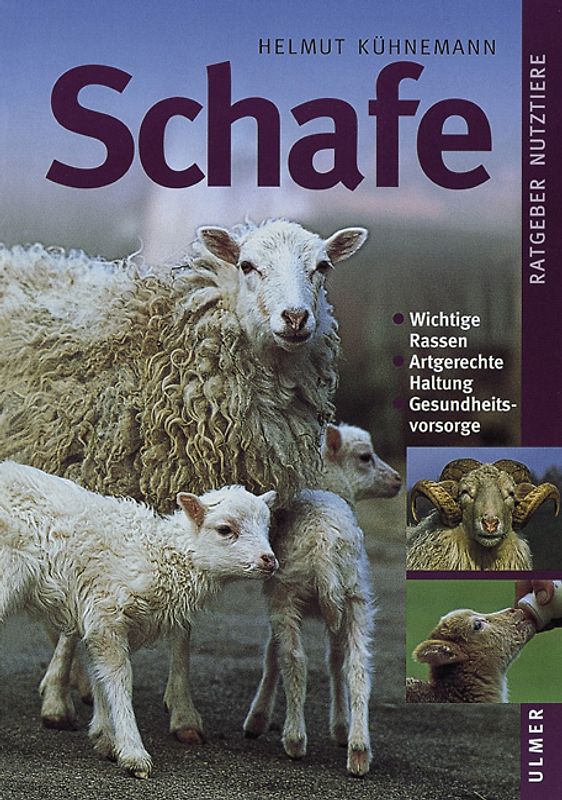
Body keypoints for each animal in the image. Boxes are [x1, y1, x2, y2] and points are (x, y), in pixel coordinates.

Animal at [0, 219, 367, 739]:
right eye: (247, 265)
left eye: (323, 267)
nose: (296, 319)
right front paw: (56, 700)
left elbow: (184, 624)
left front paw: (183, 711)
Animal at [0, 460, 278, 778]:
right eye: (224, 529)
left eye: (266, 527)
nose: (270, 560)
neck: (160, 555)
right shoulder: (107, 614)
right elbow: (120, 679)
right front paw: (133, 753)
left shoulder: (101, 622)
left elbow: (101, 678)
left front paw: (107, 738)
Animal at [243, 423, 401, 777]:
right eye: (365, 457)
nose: (398, 480)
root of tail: (323, 544)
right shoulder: (337, 606)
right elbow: (333, 661)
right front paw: (341, 728)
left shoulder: (280, 598)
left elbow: (272, 655)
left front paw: (257, 719)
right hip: (354, 596)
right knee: (357, 666)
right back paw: (358, 750)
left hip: (294, 594)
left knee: (295, 660)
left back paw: (295, 739)